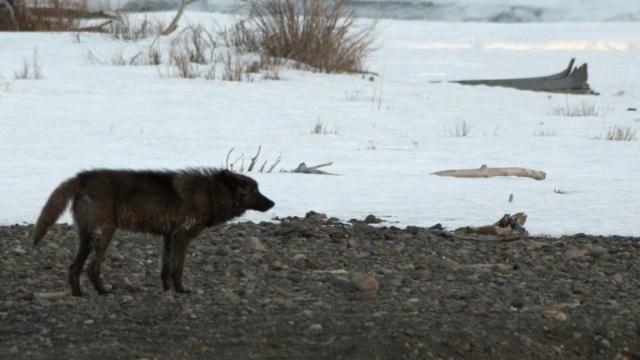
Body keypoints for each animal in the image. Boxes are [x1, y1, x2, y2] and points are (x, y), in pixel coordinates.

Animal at [33, 167, 272, 296]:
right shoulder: (182, 237)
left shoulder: (169, 237)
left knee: (74, 267)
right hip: (104, 235)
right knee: (92, 267)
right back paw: (103, 292)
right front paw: (181, 291)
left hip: (87, 238)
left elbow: (165, 269)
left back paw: (79, 294)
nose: (273, 203)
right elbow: (177, 269)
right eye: (253, 190)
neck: (209, 195)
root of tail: (83, 177)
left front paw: (168, 291)